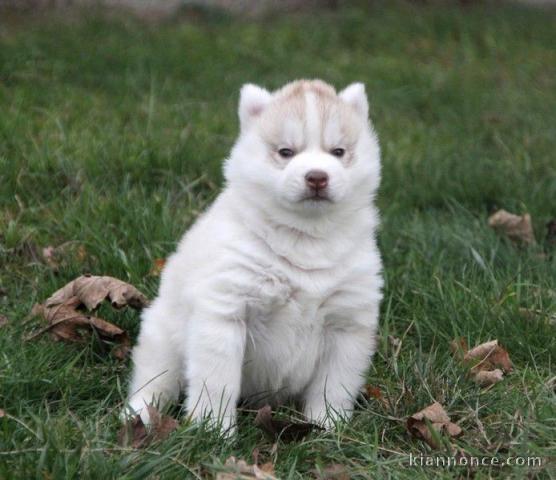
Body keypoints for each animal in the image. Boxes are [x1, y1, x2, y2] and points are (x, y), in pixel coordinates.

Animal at [125, 79, 382, 436]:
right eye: (286, 152)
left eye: (338, 152)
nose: (317, 177)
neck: (305, 236)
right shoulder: (225, 312)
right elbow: (217, 383)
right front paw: (213, 431)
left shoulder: (347, 323)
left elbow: (333, 386)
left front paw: (327, 427)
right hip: (163, 338)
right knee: (153, 380)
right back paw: (139, 415)